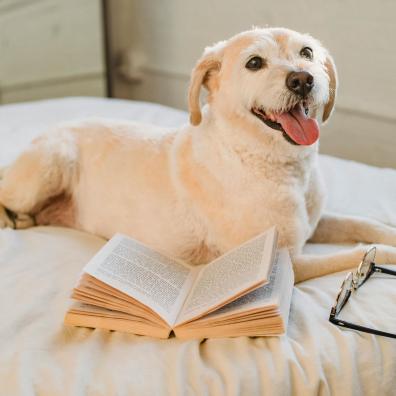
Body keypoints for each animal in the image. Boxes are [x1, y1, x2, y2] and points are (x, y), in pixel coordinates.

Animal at [0, 27, 396, 282]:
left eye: (307, 53)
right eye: (254, 63)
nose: (302, 79)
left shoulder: (316, 224)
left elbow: (365, 225)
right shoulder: (288, 263)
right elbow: (356, 253)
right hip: (50, 163)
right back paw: (12, 219)